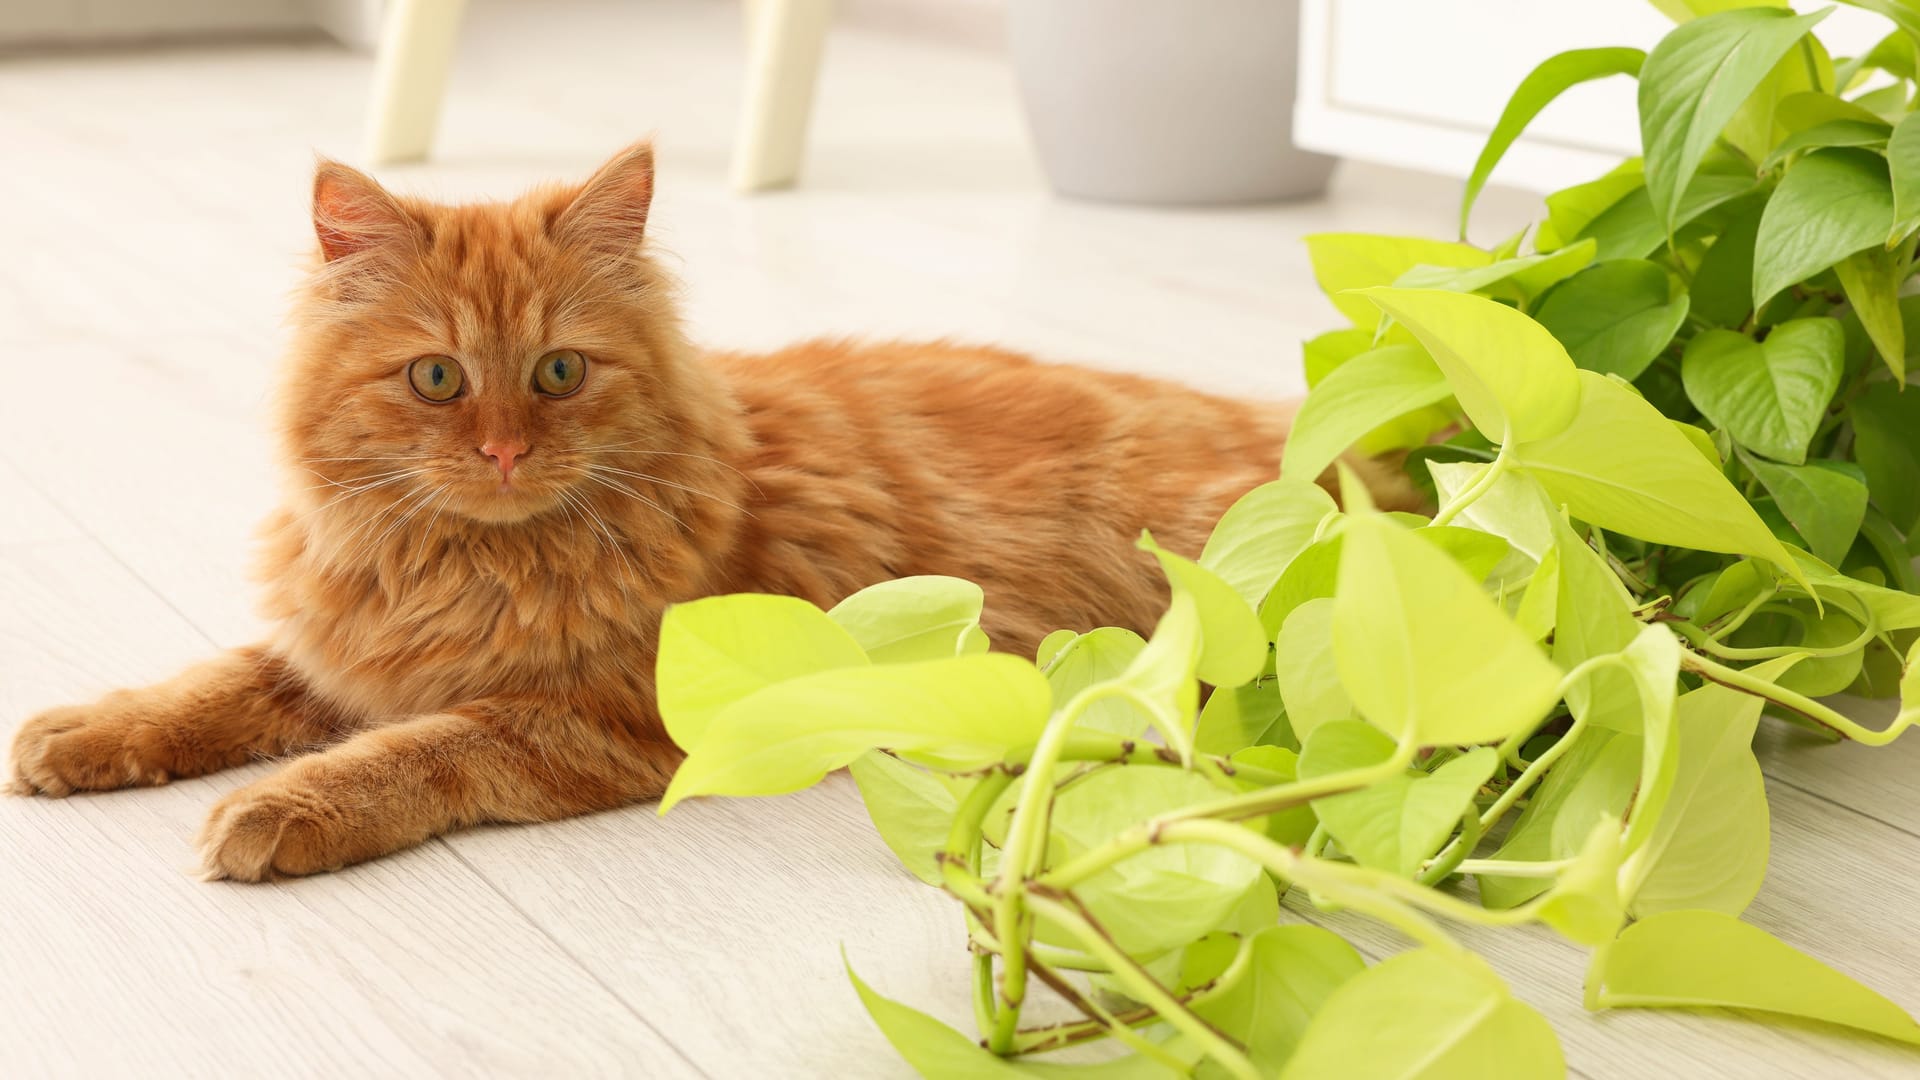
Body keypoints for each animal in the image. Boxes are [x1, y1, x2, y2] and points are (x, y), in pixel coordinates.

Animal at [0, 141, 1413, 876]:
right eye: (438, 378)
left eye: (559, 374)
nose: (503, 451)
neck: (472, 566)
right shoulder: (340, 647)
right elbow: (212, 685)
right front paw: (80, 735)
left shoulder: (599, 719)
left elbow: (419, 751)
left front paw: (277, 812)